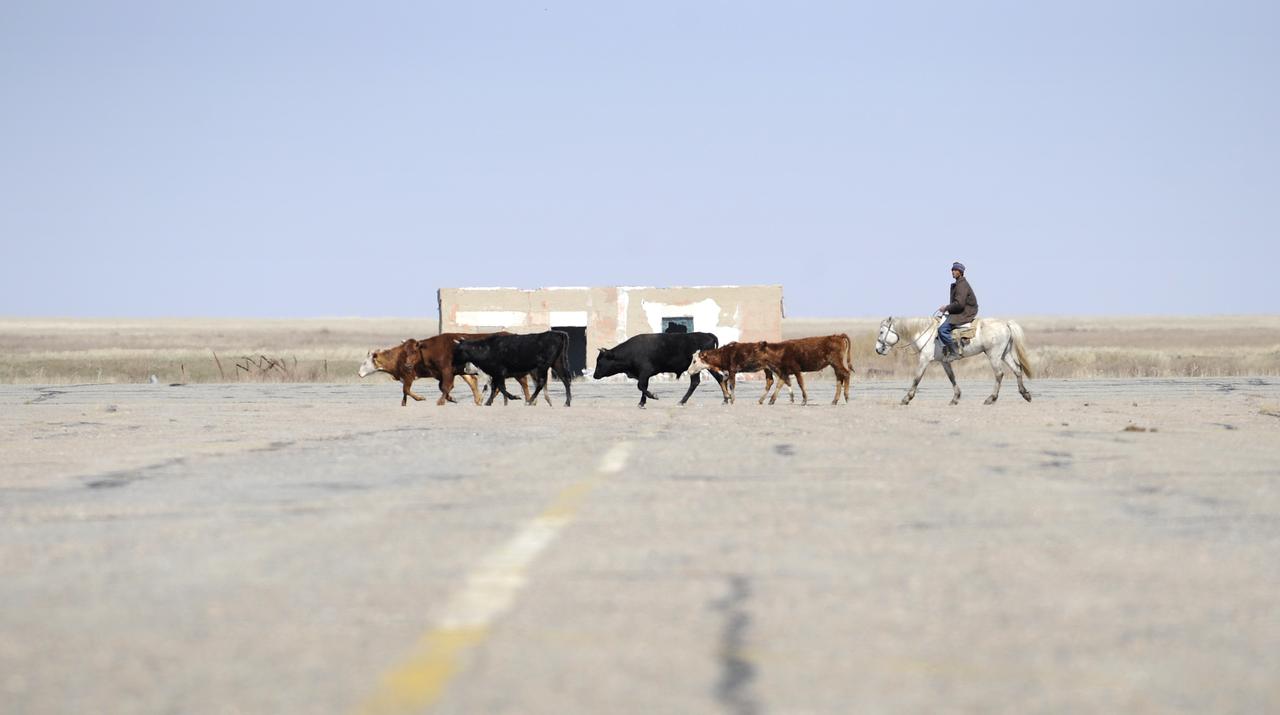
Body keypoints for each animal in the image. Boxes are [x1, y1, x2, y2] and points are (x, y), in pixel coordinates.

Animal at [358, 334, 530, 406]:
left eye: (365, 362)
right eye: (405, 352)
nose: (359, 373)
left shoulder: (411, 376)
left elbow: (407, 390)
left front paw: (426, 399)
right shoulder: (440, 374)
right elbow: (443, 387)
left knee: (522, 382)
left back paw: (527, 400)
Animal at [592, 332, 725, 407]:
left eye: (600, 361)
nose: (594, 375)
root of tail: (707, 334)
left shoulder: (645, 372)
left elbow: (641, 386)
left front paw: (653, 396)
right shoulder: (644, 375)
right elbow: (643, 387)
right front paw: (642, 403)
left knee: (714, 379)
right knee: (699, 381)